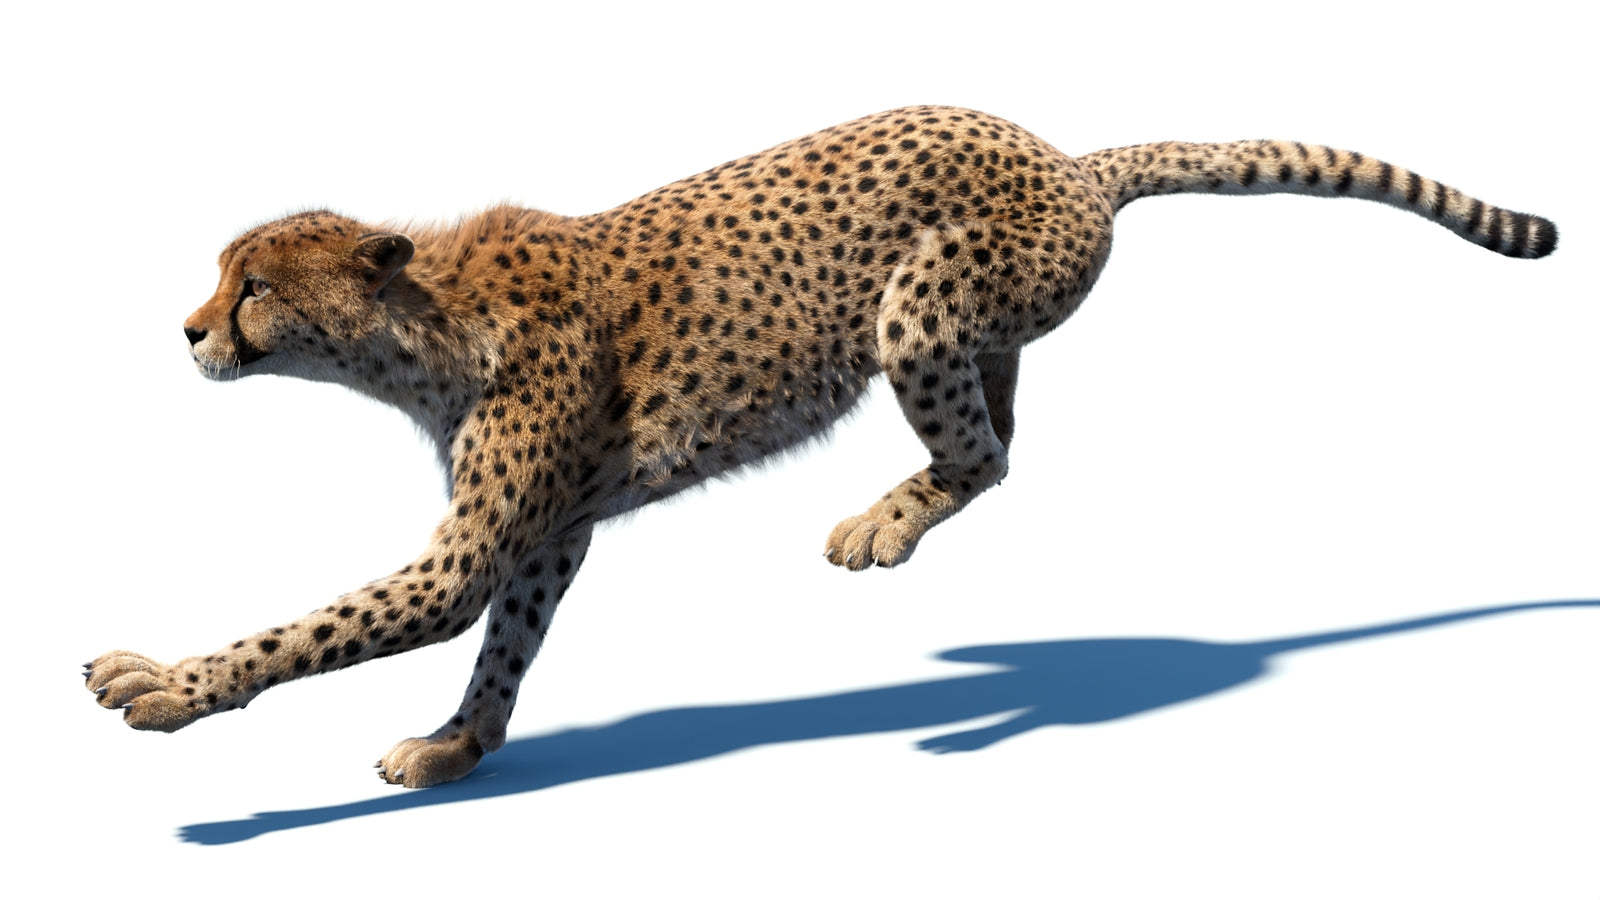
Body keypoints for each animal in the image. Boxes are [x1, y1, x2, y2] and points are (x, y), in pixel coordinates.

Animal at [84, 106, 1558, 788]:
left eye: (252, 286)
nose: (189, 330)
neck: (420, 324)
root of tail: (1064, 155)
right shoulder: (553, 533)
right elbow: (505, 646)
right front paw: (460, 745)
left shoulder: (483, 542)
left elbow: (320, 627)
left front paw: (166, 684)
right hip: (970, 326)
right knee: (1008, 427)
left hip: (919, 305)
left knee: (989, 455)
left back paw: (883, 531)